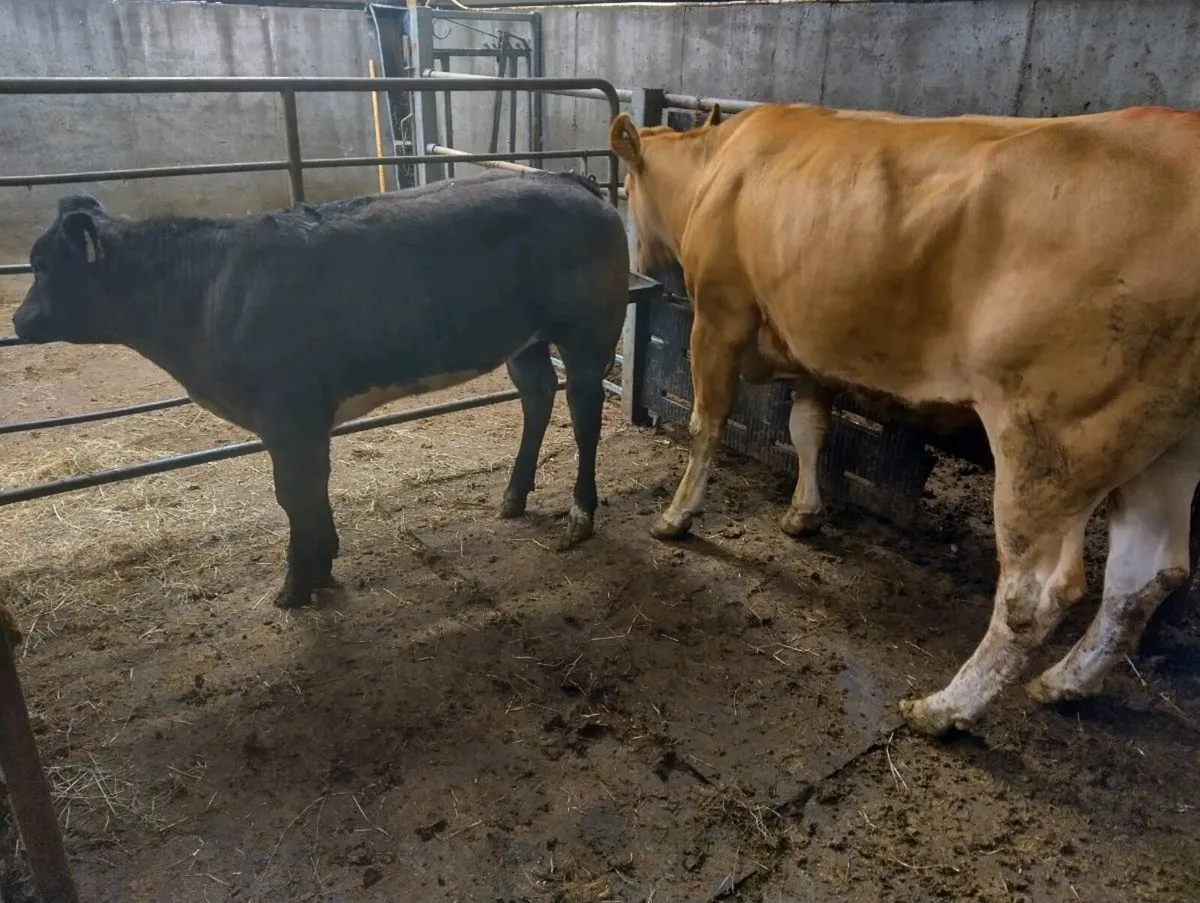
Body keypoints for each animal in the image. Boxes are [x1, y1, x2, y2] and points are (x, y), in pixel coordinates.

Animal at [13, 170, 630, 609]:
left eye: (42, 264)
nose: (18, 321)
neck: (208, 290)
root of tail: (569, 181)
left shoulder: (287, 417)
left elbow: (293, 496)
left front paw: (296, 585)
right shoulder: (303, 423)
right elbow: (311, 491)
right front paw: (323, 565)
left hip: (587, 332)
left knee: (584, 412)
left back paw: (580, 515)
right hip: (523, 340)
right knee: (536, 394)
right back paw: (513, 495)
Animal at [609, 101, 1200, 737]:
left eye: (626, 188)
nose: (637, 257)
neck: (715, 166)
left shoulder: (720, 317)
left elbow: (706, 426)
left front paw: (676, 517)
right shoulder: (810, 337)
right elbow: (808, 430)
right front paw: (803, 514)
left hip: (1052, 434)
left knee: (1037, 593)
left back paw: (945, 709)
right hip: (1166, 447)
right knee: (1147, 576)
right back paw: (1066, 683)